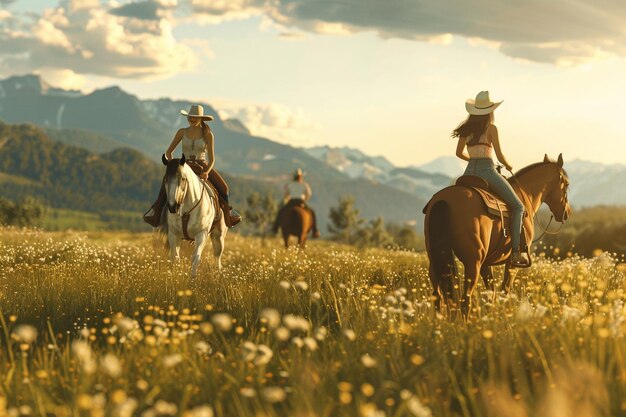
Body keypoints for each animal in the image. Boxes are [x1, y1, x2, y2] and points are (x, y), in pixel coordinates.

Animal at [422, 154, 568, 318]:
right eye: (566, 184)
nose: (566, 213)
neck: (525, 197)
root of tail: (444, 199)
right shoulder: (512, 263)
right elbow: (505, 290)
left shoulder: (486, 263)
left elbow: (490, 294)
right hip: (473, 262)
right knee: (465, 299)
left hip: (435, 261)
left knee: (437, 297)